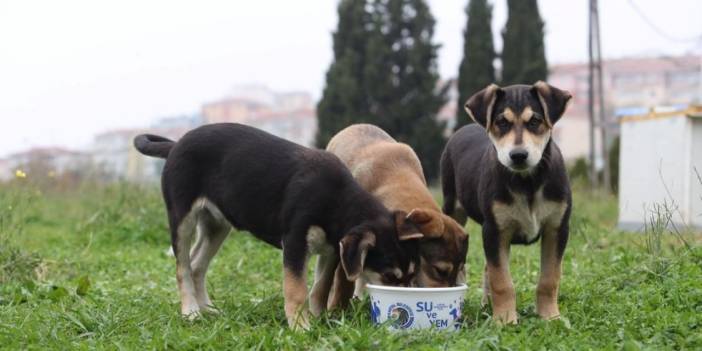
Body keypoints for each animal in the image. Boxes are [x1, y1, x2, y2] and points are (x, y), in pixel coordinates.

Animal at [133, 124, 424, 330]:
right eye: (389, 276)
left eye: (412, 274)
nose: (403, 306)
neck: (338, 200)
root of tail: (175, 145)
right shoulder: (295, 243)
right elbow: (296, 290)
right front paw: (301, 326)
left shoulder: (332, 250)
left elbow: (320, 287)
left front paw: (318, 318)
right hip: (182, 219)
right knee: (182, 268)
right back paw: (191, 312)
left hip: (216, 225)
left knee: (196, 266)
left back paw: (208, 309)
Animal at [442, 82, 576, 324]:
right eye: (501, 122)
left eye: (535, 121)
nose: (518, 155)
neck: (528, 182)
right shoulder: (495, 230)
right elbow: (502, 280)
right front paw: (505, 320)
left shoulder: (557, 228)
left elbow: (550, 278)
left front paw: (550, 316)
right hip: (453, 206)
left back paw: (487, 306)